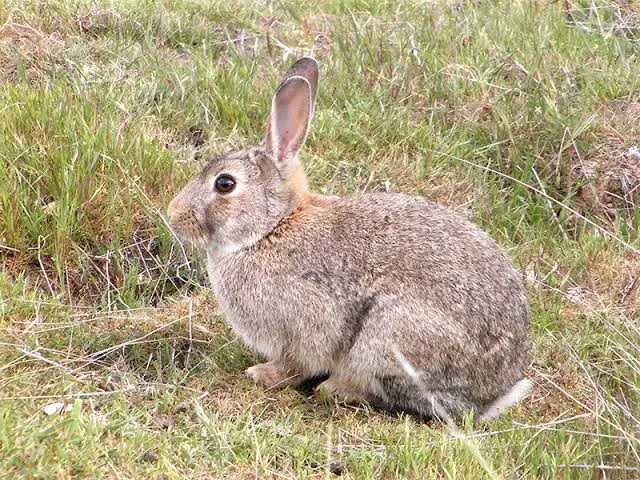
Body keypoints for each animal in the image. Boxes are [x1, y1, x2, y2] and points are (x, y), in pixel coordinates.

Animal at [168, 58, 532, 422]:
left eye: (225, 183)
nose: (173, 214)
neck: (271, 228)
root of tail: (491, 395)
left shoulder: (304, 323)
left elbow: (295, 364)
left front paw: (262, 374)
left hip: (389, 336)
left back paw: (336, 389)